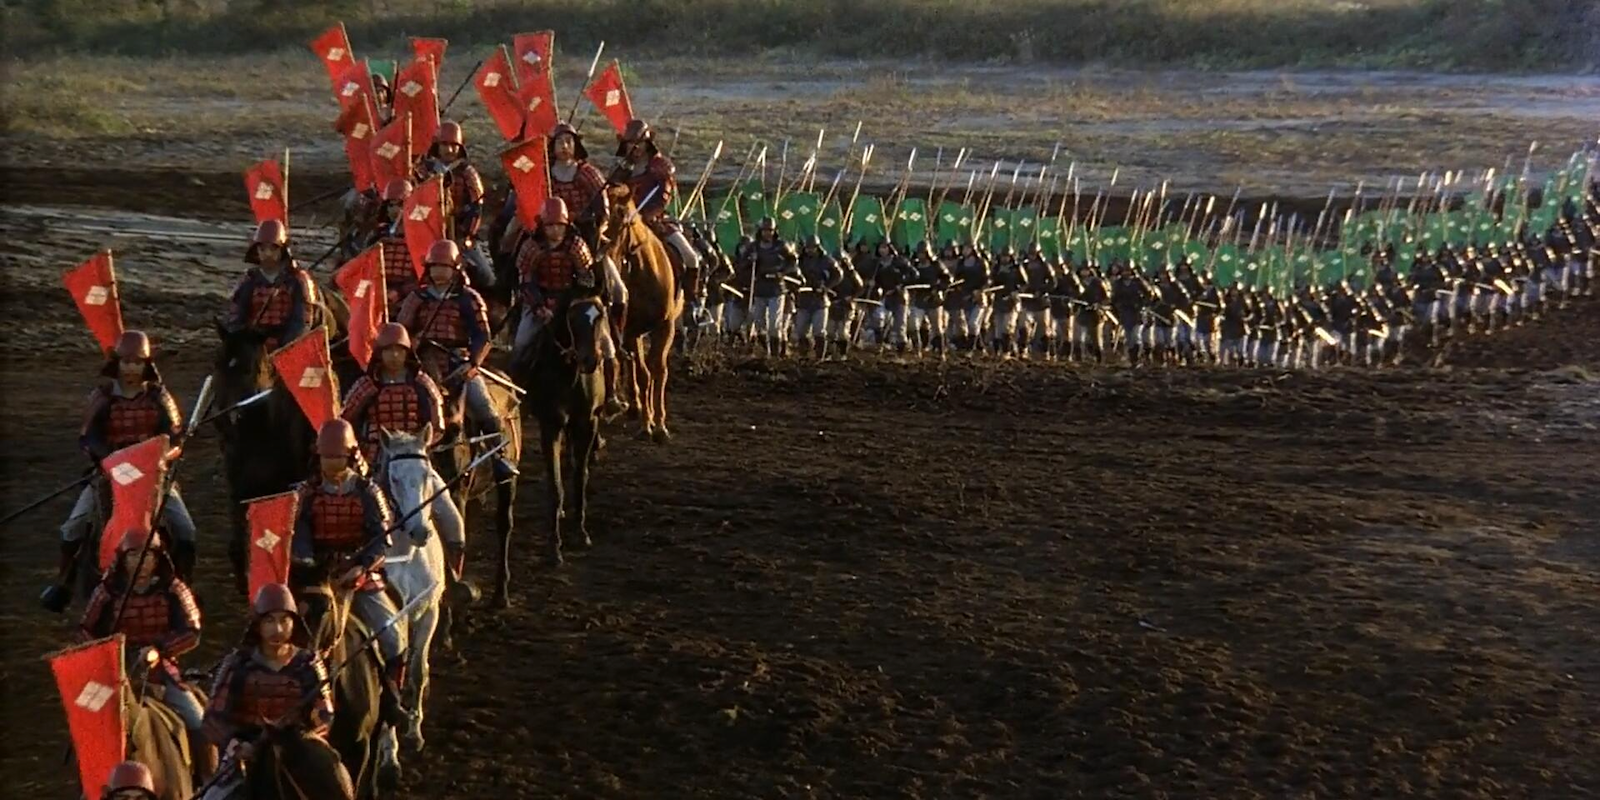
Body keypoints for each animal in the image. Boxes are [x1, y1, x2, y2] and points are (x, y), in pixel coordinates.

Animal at [366, 428, 457, 777]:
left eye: (426, 473)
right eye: (394, 477)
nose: (421, 532)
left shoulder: (429, 612)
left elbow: (417, 671)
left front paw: (415, 733)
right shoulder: (389, 625)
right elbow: (391, 681)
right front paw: (389, 755)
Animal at [595, 181, 681, 441]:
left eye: (625, 221)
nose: (604, 257)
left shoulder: (665, 326)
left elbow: (658, 371)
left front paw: (660, 425)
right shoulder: (632, 330)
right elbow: (643, 374)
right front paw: (647, 424)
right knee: (630, 364)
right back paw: (635, 406)